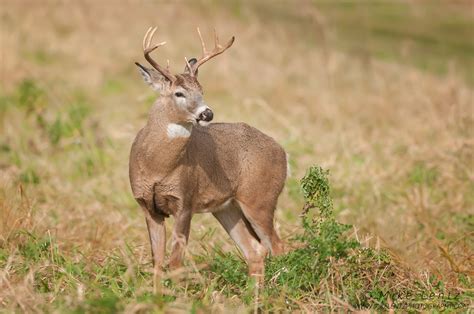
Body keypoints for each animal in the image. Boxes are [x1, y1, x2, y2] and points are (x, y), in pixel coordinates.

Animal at [128, 27, 286, 282]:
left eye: (201, 91)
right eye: (179, 93)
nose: (207, 113)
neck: (156, 167)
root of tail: (282, 151)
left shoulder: (185, 200)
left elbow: (175, 263)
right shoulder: (147, 205)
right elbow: (157, 264)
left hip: (260, 198)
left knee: (277, 246)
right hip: (226, 207)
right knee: (255, 249)